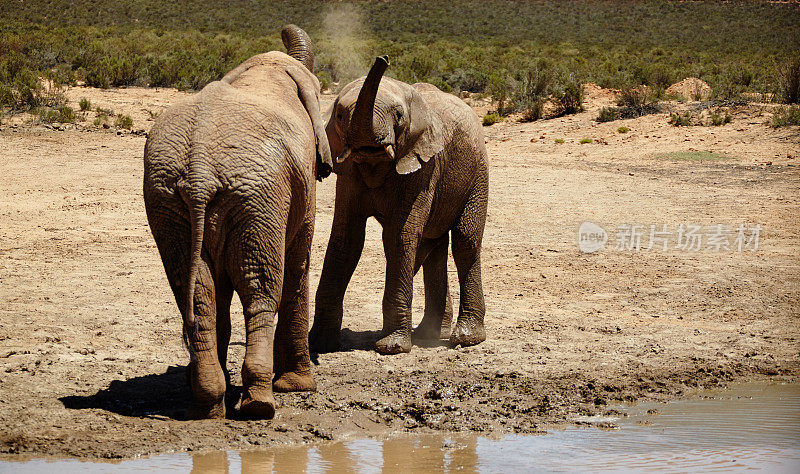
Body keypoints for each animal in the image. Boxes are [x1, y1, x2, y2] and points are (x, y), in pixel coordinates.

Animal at [143, 25, 332, 418]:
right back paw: (259, 404)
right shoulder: (300, 188)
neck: (267, 67)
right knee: (260, 288)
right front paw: (298, 387)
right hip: (256, 197)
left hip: (168, 199)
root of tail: (199, 169)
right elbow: (298, 263)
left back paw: (207, 404)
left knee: (196, 292)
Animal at [310, 55, 488, 354]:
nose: (384, 59)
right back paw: (429, 333)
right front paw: (320, 345)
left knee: (465, 240)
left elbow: (399, 236)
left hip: (478, 170)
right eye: (340, 115)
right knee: (433, 246)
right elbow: (346, 238)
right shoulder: (349, 174)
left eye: (399, 116)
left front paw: (391, 347)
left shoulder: (424, 167)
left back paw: (466, 338)